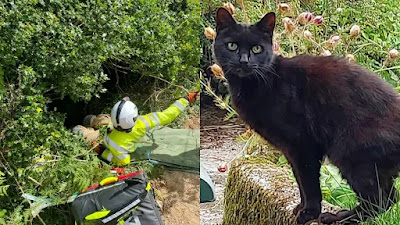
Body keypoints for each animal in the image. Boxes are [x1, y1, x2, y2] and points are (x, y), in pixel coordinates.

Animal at [214, 7, 400, 224]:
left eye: (257, 49)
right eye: (232, 46)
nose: (244, 60)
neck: (258, 84)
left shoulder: (303, 145)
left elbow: (309, 183)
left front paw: (309, 213)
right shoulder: (290, 150)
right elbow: (300, 181)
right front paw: (300, 208)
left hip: (351, 155)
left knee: (380, 201)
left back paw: (338, 217)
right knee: (390, 197)